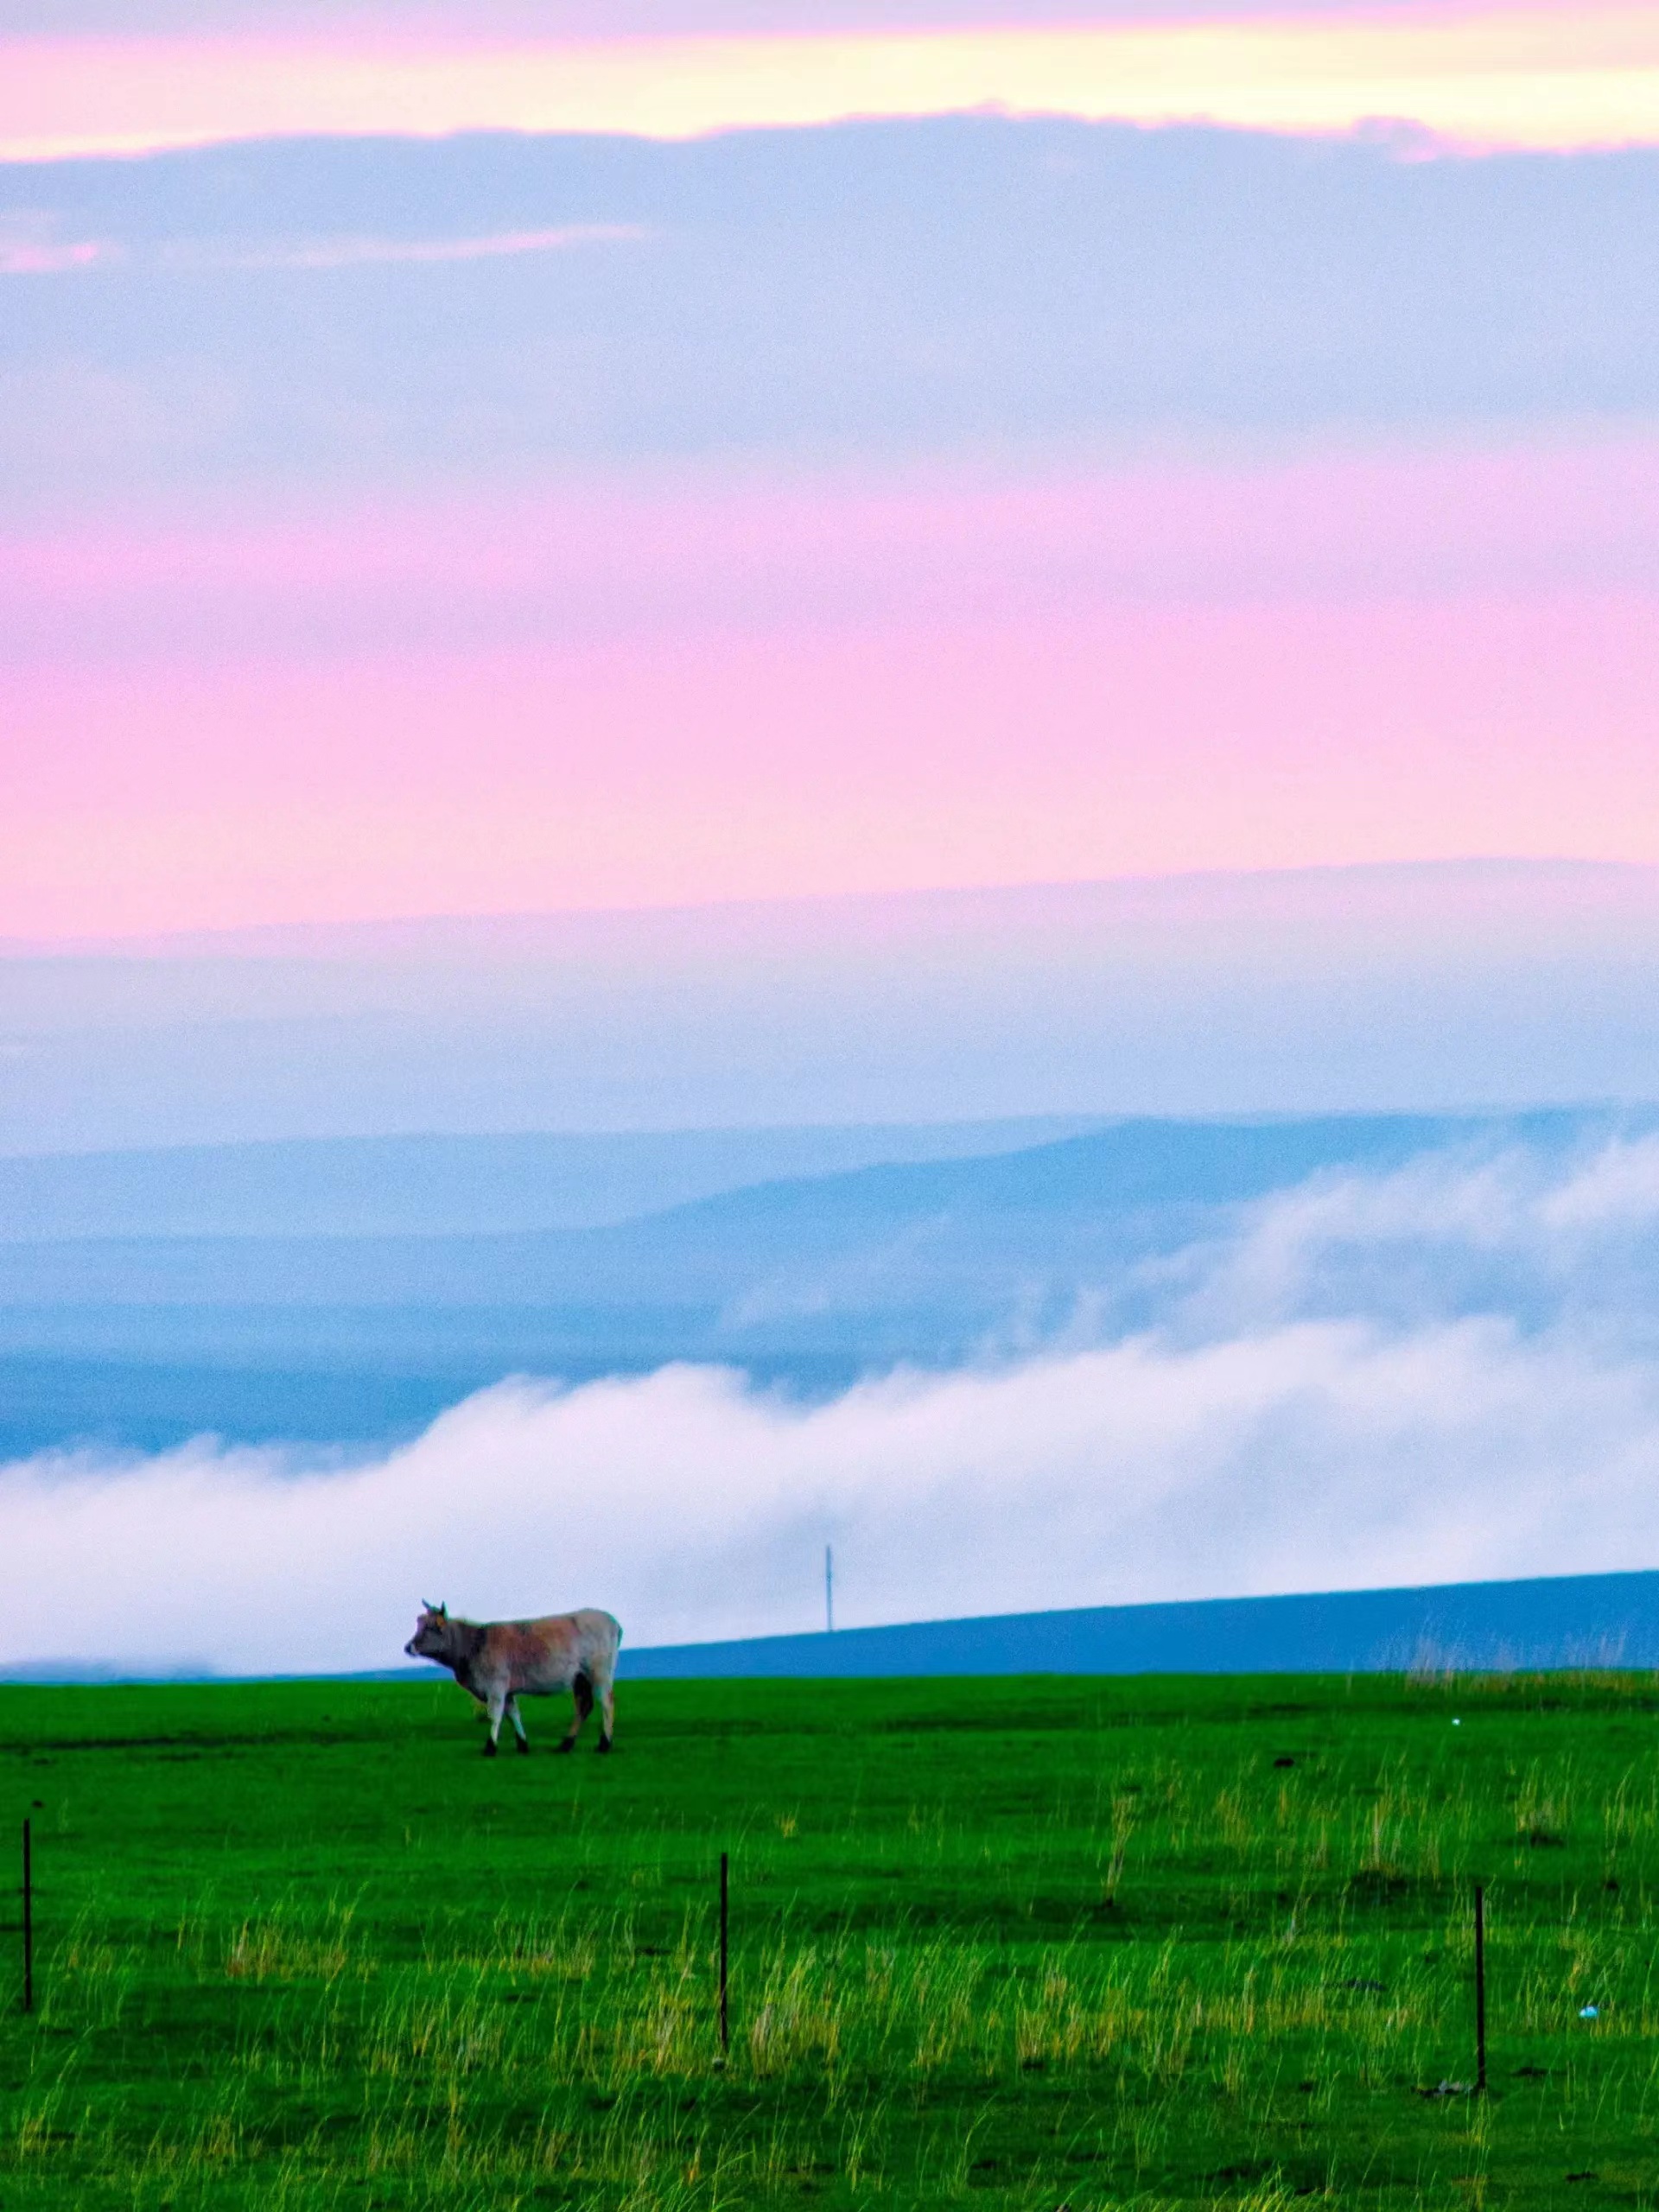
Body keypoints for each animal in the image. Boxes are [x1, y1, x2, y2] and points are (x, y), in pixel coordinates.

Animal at [404, 1601, 623, 1751]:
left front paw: (490, 1747)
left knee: (607, 1702)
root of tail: (610, 1620)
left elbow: (495, 1715)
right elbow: (513, 1714)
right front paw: (522, 1744)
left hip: (599, 1673)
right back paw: (566, 1744)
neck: (474, 1643)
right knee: (584, 1706)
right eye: (419, 1624)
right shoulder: (507, 1691)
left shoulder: (496, 1686)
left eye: (430, 1627)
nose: (408, 1647)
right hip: (580, 1678)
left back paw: (604, 1743)